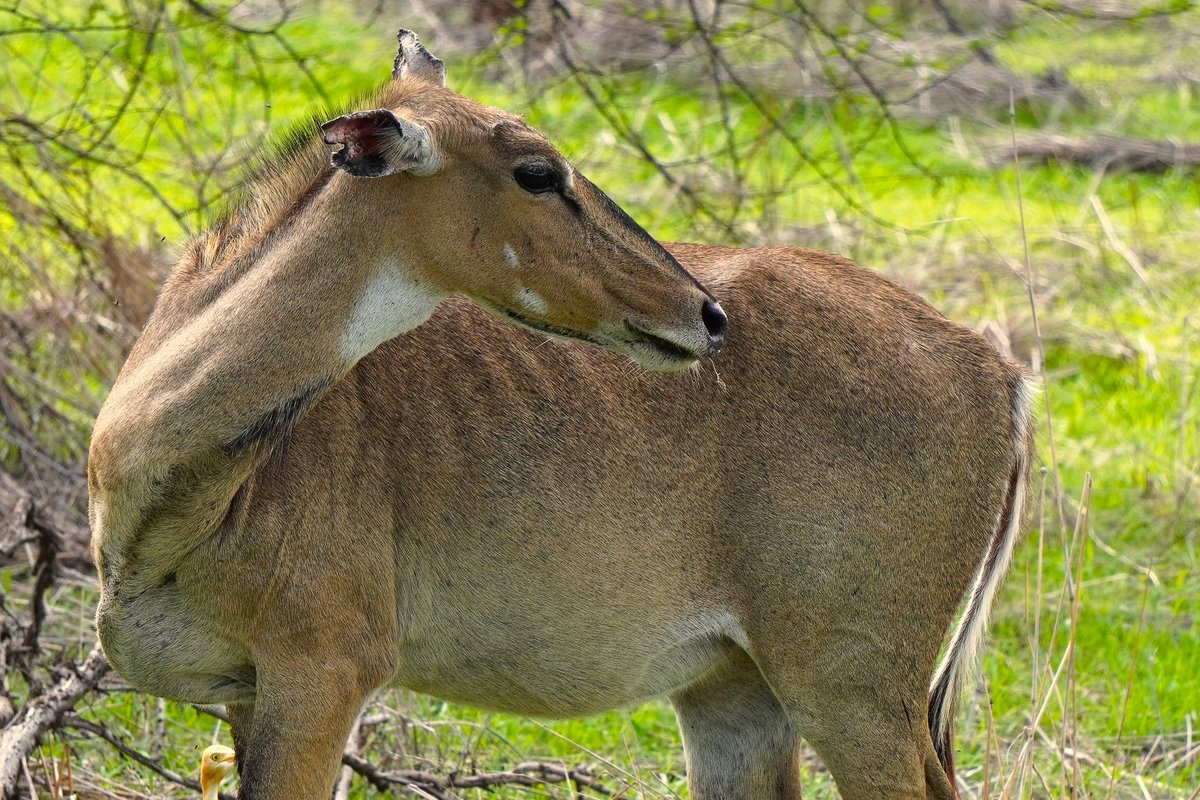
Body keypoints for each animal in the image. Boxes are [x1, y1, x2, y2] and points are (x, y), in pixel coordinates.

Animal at [88, 31, 1033, 800]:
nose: (706, 314)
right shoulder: (248, 695)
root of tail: (1001, 371)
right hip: (739, 693)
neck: (174, 488)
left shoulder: (326, 670)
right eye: (539, 172)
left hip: (853, 684)